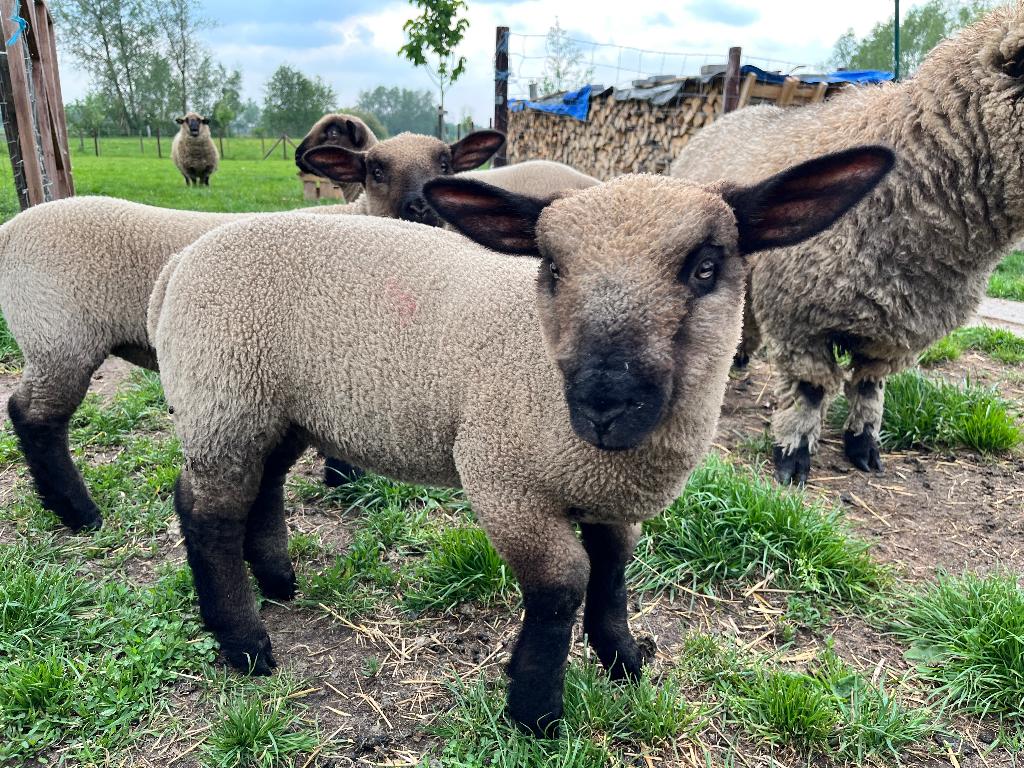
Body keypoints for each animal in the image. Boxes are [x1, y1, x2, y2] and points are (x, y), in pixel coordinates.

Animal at [0, 130, 513, 531]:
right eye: (375, 170)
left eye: (445, 162)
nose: (422, 205)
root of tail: (10, 230)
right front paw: (343, 475)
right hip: (58, 336)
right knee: (33, 415)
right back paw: (79, 514)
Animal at [148, 147, 892, 735]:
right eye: (552, 268)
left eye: (706, 266)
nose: (605, 403)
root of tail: (179, 263)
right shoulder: (502, 479)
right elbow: (563, 585)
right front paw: (536, 710)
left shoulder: (607, 495)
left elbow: (612, 570)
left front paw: (623, 658)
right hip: (223, 397)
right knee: (206, 512)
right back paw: (245, 643)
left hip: (273, 409)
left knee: (263, 488)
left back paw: (278, 583)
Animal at [670, 4, 1024, 484]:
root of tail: (727, 118)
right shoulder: (800, 317)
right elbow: (811, 389)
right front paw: (793, 456)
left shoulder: (894, 330)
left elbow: (869, 387)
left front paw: (864, 446)